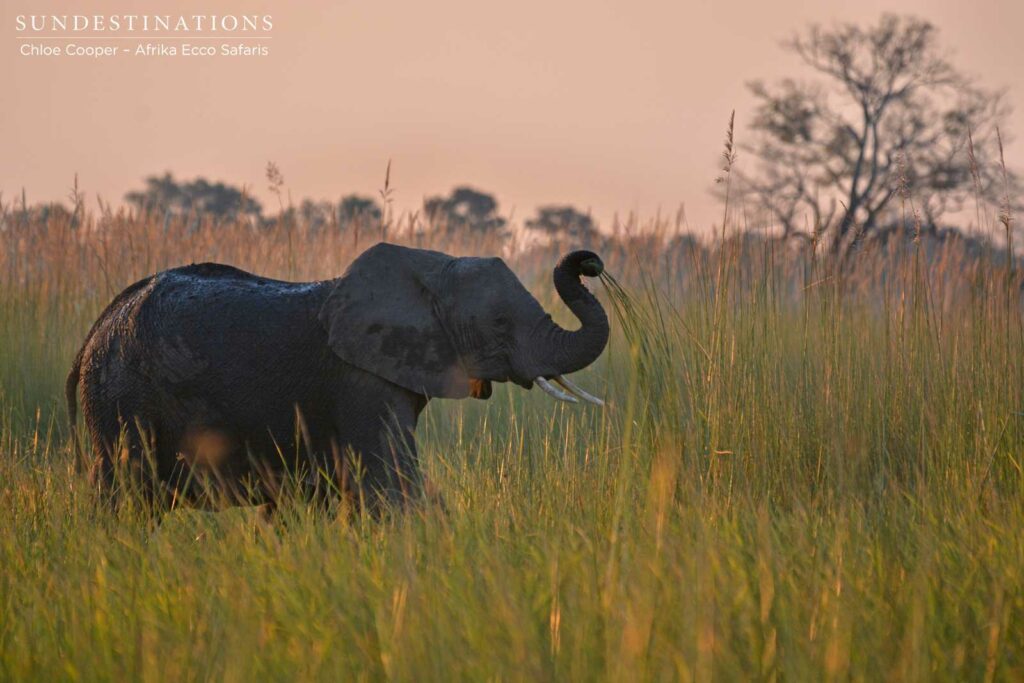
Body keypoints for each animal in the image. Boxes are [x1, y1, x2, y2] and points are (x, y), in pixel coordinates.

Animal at [66, 243, 609, 511]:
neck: (431, 269)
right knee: (128, 500)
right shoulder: (359, 381)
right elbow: (392, 483)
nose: (589, 261)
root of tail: (94, 330)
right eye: (498, 323)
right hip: (122, 402)